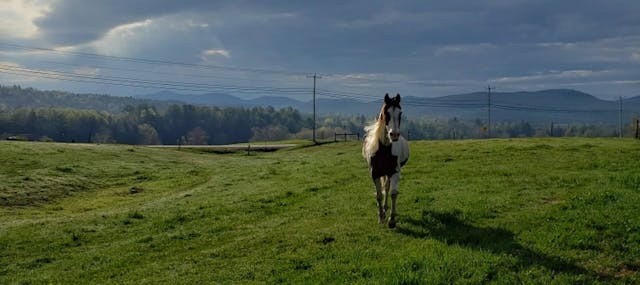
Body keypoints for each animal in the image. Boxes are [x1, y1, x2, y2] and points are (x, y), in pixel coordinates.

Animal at [360, 93, 410, 229]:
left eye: (400, 113)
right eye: (385, 113)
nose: (394, 135)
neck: (384, 149)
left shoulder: (395, 172)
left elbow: (393, 193)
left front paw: (391, 220)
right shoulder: (375, 174)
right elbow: (379, 195)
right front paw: (381, 217)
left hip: (389, 173)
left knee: (387, 188)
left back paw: (386, 207)